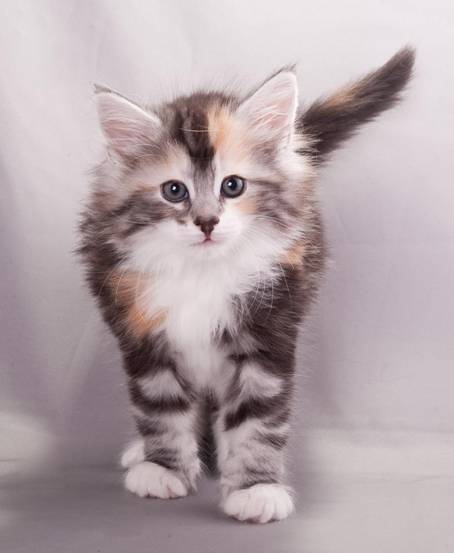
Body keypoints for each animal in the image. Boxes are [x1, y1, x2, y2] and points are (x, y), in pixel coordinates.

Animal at [78, 47, 414, 523]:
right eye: (174, 190)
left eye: (232, 186)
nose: (206, 222)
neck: (201, 272)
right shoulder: (140, 330)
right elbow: (161, 406)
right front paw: (163, 468)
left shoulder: (270, 330)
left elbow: (257, 418)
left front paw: (256, 489)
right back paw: (144, 452)